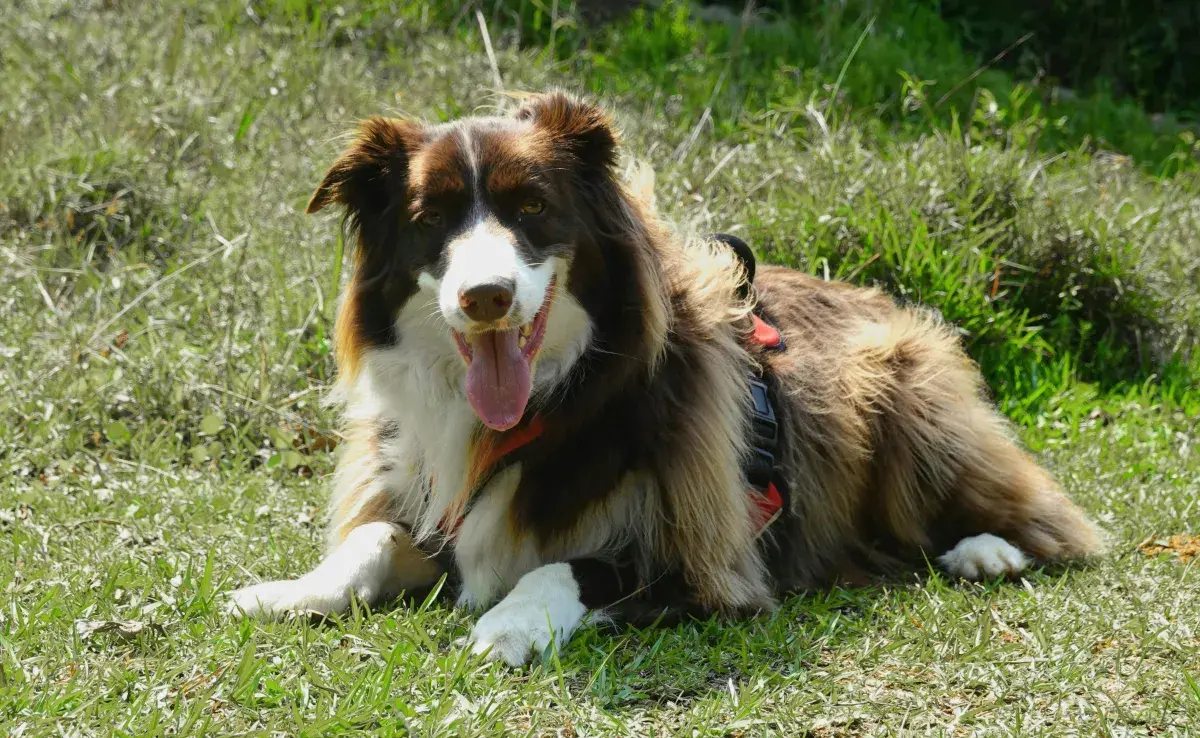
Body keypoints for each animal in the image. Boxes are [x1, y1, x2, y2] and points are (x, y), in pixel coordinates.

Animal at [226, 91, 1104, 662]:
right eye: (429, 218)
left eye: (532, 207)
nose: (486, 298)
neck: (560, 400)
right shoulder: (435, 497)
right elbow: (374, 535)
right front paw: (289, 590)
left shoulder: (704, 554)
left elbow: (568, 565)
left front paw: (508, 625)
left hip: (903, 395)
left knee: (1049, 521)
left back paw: (988, 551)